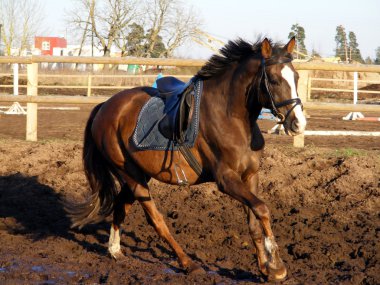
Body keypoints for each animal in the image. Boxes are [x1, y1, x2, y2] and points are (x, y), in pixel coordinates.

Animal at [67, 37, 306, 280]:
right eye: (274, 80)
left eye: (296, 77)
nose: (299, 124)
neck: (232, 118)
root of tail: (105, 106)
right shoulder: (226, 180)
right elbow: (262, 209)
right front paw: (277, 265)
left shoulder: (250, 176)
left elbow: (255, 220)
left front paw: (265, 268)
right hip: (131, 176)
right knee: (156, 220)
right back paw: (187, 263)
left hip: (138, 174)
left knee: (121, 205)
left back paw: (115, 251)